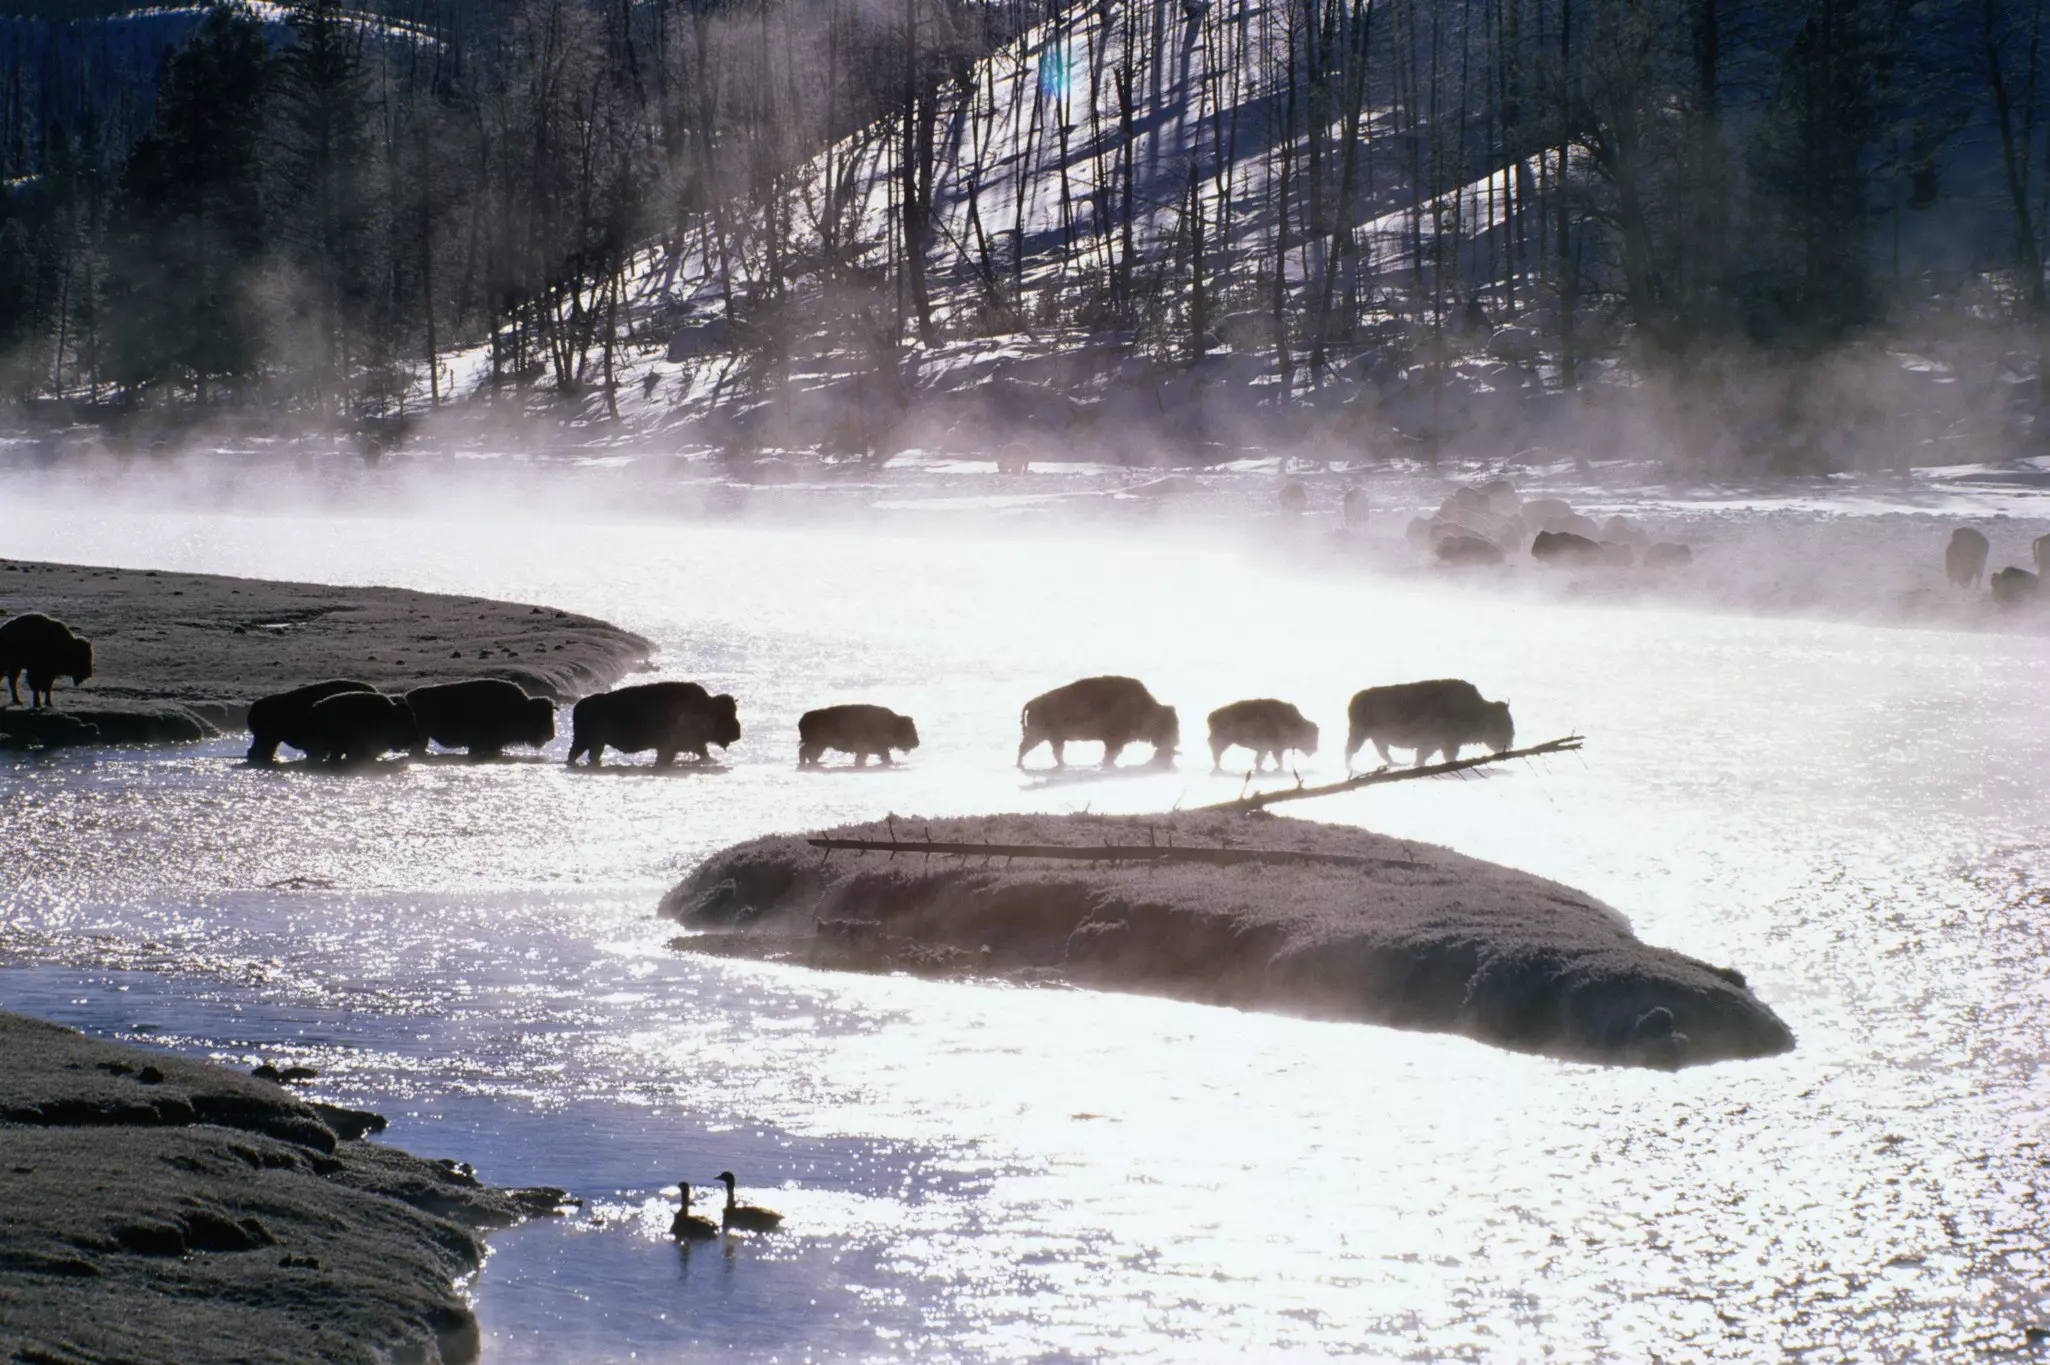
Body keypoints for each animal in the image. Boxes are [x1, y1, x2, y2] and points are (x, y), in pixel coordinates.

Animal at [569, 681, 740, 766]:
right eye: (724, 716)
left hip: (597, 743)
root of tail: (579, 706)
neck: (704, 708)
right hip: (585, 740)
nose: (737, 734)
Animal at [1017, 676, 1178, 770]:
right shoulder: (1114, 740)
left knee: (1054, 753)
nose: (1175, 742)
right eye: (1168, 726)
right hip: (1039, 736)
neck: (1144, 709)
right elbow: (1111, 754)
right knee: (1026, 748)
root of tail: (1031, 704)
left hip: (1053, 739)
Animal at [1344, 679, 1514, 770]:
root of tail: (1354, 700)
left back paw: (1396, 764)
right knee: (1351, 751)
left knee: (1382, 751)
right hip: (1359, 735)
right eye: (1501, 724)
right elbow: (1443, 757)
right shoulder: (1446, 744)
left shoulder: (1437, 745)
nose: (1509, 744)